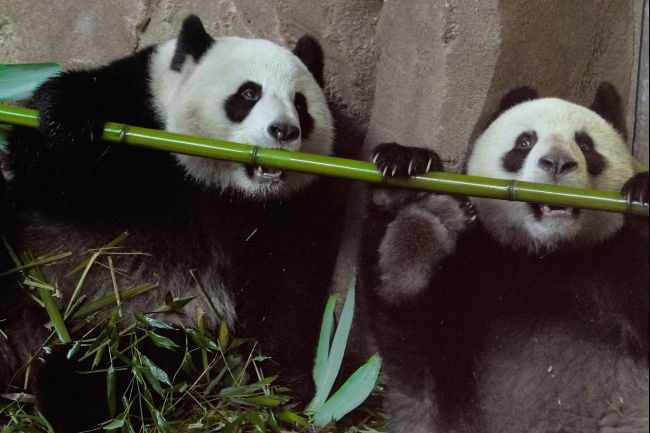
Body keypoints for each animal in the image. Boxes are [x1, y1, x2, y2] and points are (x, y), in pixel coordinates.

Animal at [0, 14, 340, 432]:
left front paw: (279, 386)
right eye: (248, 94)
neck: (218, 184)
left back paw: (64, 383)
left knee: (125, 368)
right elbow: (45, 171)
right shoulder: (137, 109)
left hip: (162, 332)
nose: (284, 130)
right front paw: (66, 119)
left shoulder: (285, 211)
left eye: (300, 103)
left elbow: (285, 290)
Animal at [357, 83, 649, 433]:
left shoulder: (608, 264)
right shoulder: (480, 262)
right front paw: (405, 173)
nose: (557, 162)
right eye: (524, 142)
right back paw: (420, 225)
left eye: (585, 144)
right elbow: (414, 344)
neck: (548, 254)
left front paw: (644, 192)